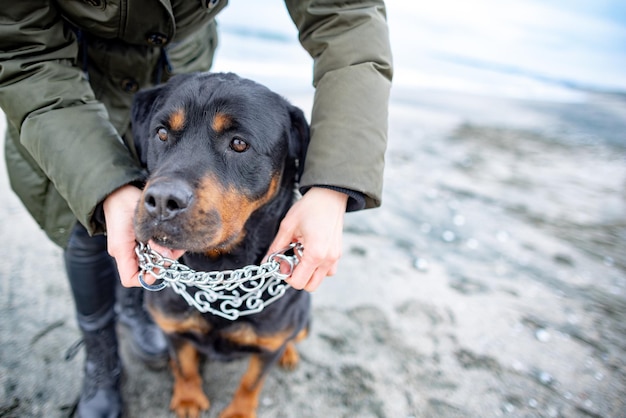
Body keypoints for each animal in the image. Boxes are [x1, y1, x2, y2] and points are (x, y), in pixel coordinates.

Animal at [129, 72, 310, 418]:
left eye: (239, 143)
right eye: (161, 133)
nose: (162, 201)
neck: (219, 269)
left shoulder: (268, 343)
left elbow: (251, 382)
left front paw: (238, 412)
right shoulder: (171, 327)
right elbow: (183, 364)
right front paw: (188, 399)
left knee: (295, 335)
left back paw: (290, 353)